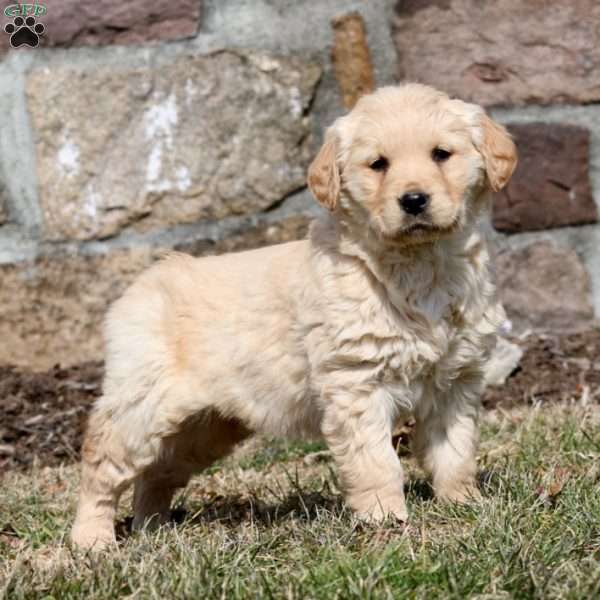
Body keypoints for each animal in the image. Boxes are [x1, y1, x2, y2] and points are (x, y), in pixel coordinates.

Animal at [71, 83, 516, 548]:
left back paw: (153, 528)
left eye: (441, 154)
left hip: (205, 426)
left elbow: (455, 451)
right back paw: (92, 539)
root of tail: (144, 280)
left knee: (157, 471)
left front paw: (464, 504)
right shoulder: (357, 385)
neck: (420, 266)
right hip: (142, 402)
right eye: (378, 164)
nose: (413, 200)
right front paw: (383, 518)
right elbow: (376, 461)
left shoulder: (455, 382)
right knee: (101, 461)